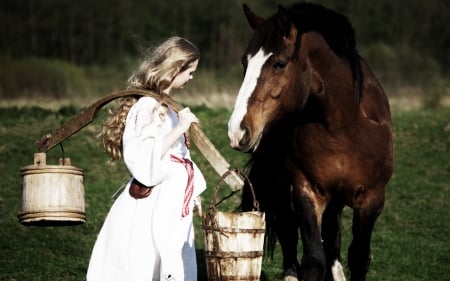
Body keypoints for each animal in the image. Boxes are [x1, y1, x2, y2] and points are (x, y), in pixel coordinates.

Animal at [229, 2, 394, 280]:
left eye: (279, 64)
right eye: (244, 62)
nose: (237, 130)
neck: (343, 128)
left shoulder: (373, 199)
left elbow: (359, 257)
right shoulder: (307, 191)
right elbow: (314, 258)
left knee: (332, 239)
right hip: (280, 185)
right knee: (288, 230)